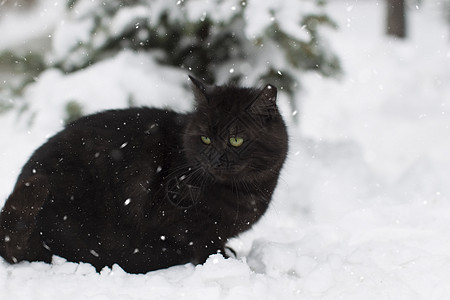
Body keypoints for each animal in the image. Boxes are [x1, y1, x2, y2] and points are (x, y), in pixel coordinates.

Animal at [0, 76, 288, 274]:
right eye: (205, 138)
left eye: (236, 140)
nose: (213, 159)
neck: (246, 192)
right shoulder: (178, 221)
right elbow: (204, 245)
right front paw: (224, 262)